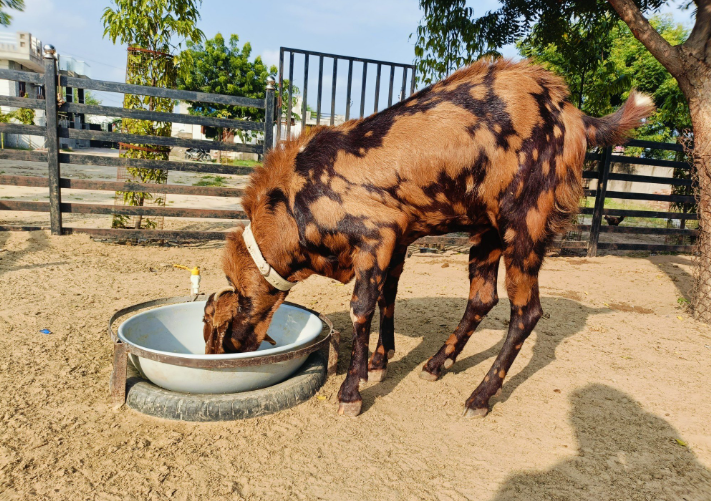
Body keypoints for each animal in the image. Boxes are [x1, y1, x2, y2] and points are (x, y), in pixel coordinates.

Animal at [202, 59, 654, 417]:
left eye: (241, 298)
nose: (230, 352)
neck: (293, 200)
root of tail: (575, 114)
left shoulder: (375, 236)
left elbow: (361, 309)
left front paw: (351, 391)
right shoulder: (398, 240)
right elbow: (388, 297)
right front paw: (379, 361)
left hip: (525, 224)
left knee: (527, 312)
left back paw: (480, 396)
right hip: (488, 230)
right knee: (482, 298)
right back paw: (438, 363)